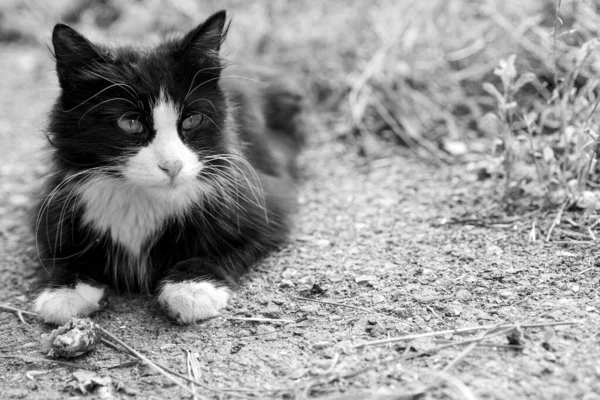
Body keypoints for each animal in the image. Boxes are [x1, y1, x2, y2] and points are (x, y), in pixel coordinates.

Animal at [32, 10, 304, 324]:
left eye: (192, 120)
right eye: (130, 123)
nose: (172, 166)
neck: (142, 202)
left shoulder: (263, 201)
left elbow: (222, 248)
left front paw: (190, 288)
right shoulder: (55, 201)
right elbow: (63, 252)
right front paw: (65, 290)